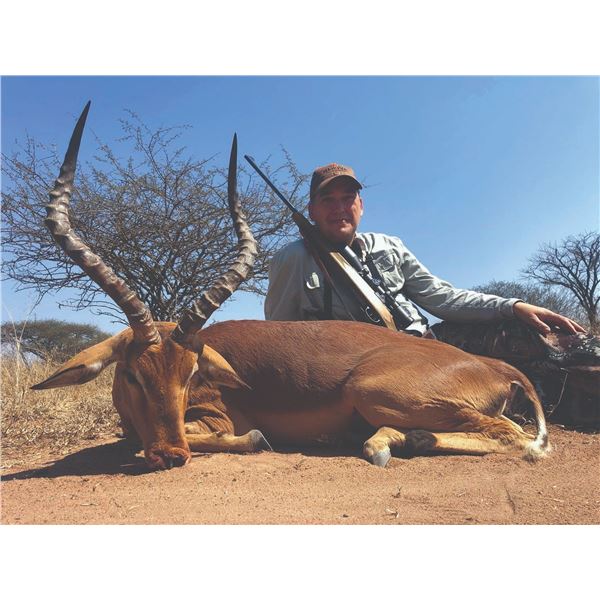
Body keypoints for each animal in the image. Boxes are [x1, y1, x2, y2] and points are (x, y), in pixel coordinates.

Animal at [32, 103, 550, 470]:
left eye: (191, 373)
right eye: (133, 374)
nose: (172, 455)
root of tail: (494, 365)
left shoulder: (217, 418)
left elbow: (194, 440)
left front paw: (254, 439)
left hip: (375, 391)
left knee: (515, 436)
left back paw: (385, 444)